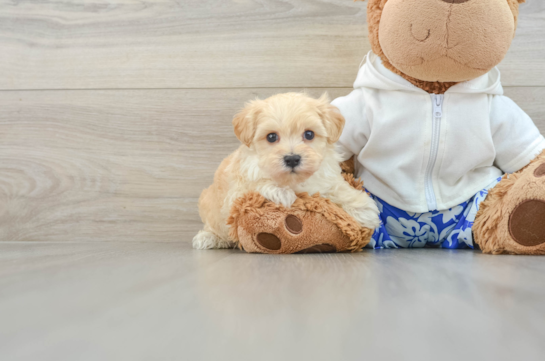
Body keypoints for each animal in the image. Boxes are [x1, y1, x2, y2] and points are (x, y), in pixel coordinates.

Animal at [192, 93, 378, 249]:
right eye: (271, 137)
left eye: (309, 134)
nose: (292, 159)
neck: (293, 181)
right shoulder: (236, 193)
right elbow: (256, 184)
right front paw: (281, 192)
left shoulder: (325, 178)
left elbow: (338, 187)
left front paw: (364, 209)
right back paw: (208, 238)